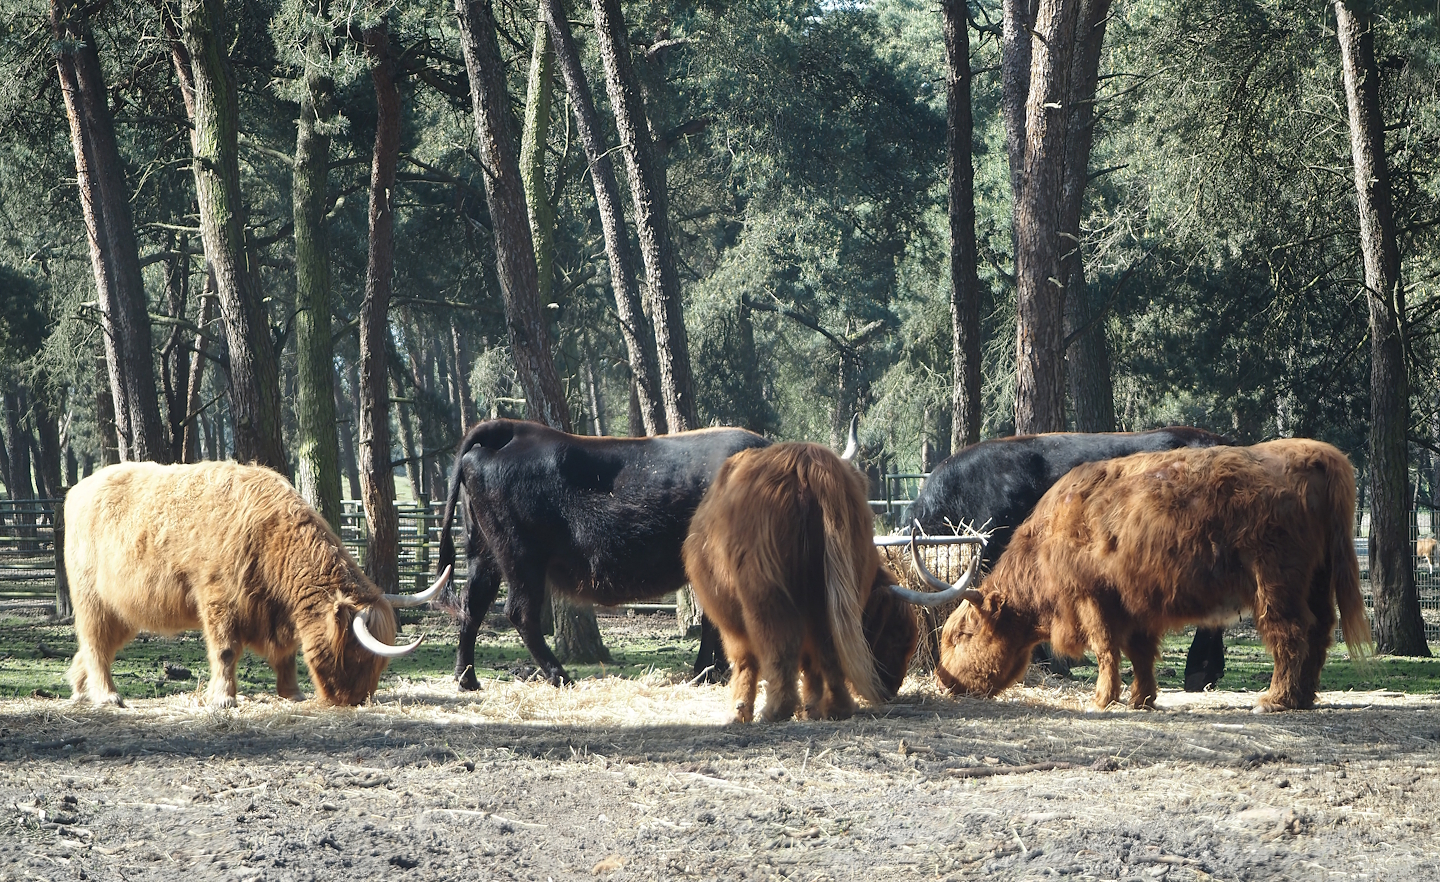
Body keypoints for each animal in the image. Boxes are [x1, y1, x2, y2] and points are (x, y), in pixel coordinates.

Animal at [65, 461, 444, 708]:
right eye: (358, 654)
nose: (355, 700)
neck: (271, 538)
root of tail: (78, 490)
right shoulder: (218, 599)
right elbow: (225, 650)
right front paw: (223, 699)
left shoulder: (275, 613)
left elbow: (286, 656)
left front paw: (292, 694)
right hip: (91, 598)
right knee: (95, 643)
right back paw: (107, 695)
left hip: (123, 610)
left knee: (95, 646)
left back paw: (81, 689)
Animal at [435, 419, 772, 688]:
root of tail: (514, 429)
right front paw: (711, 672)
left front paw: (711, 671)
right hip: (521, 559)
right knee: (519, 612)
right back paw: (560, 677)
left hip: (485, 555)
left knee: (472, 607)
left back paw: (467, 680)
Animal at [683, 443, 943, 722]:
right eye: (896, 635)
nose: (891, 687)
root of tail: (807, 460)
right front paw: (811, 707)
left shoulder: (731, 620)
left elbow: (745, 659)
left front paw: (739, 711)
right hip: (832, 585)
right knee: (827, 645)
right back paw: (836, 707)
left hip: (766, 592)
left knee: (780, 647)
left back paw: (776, 709)